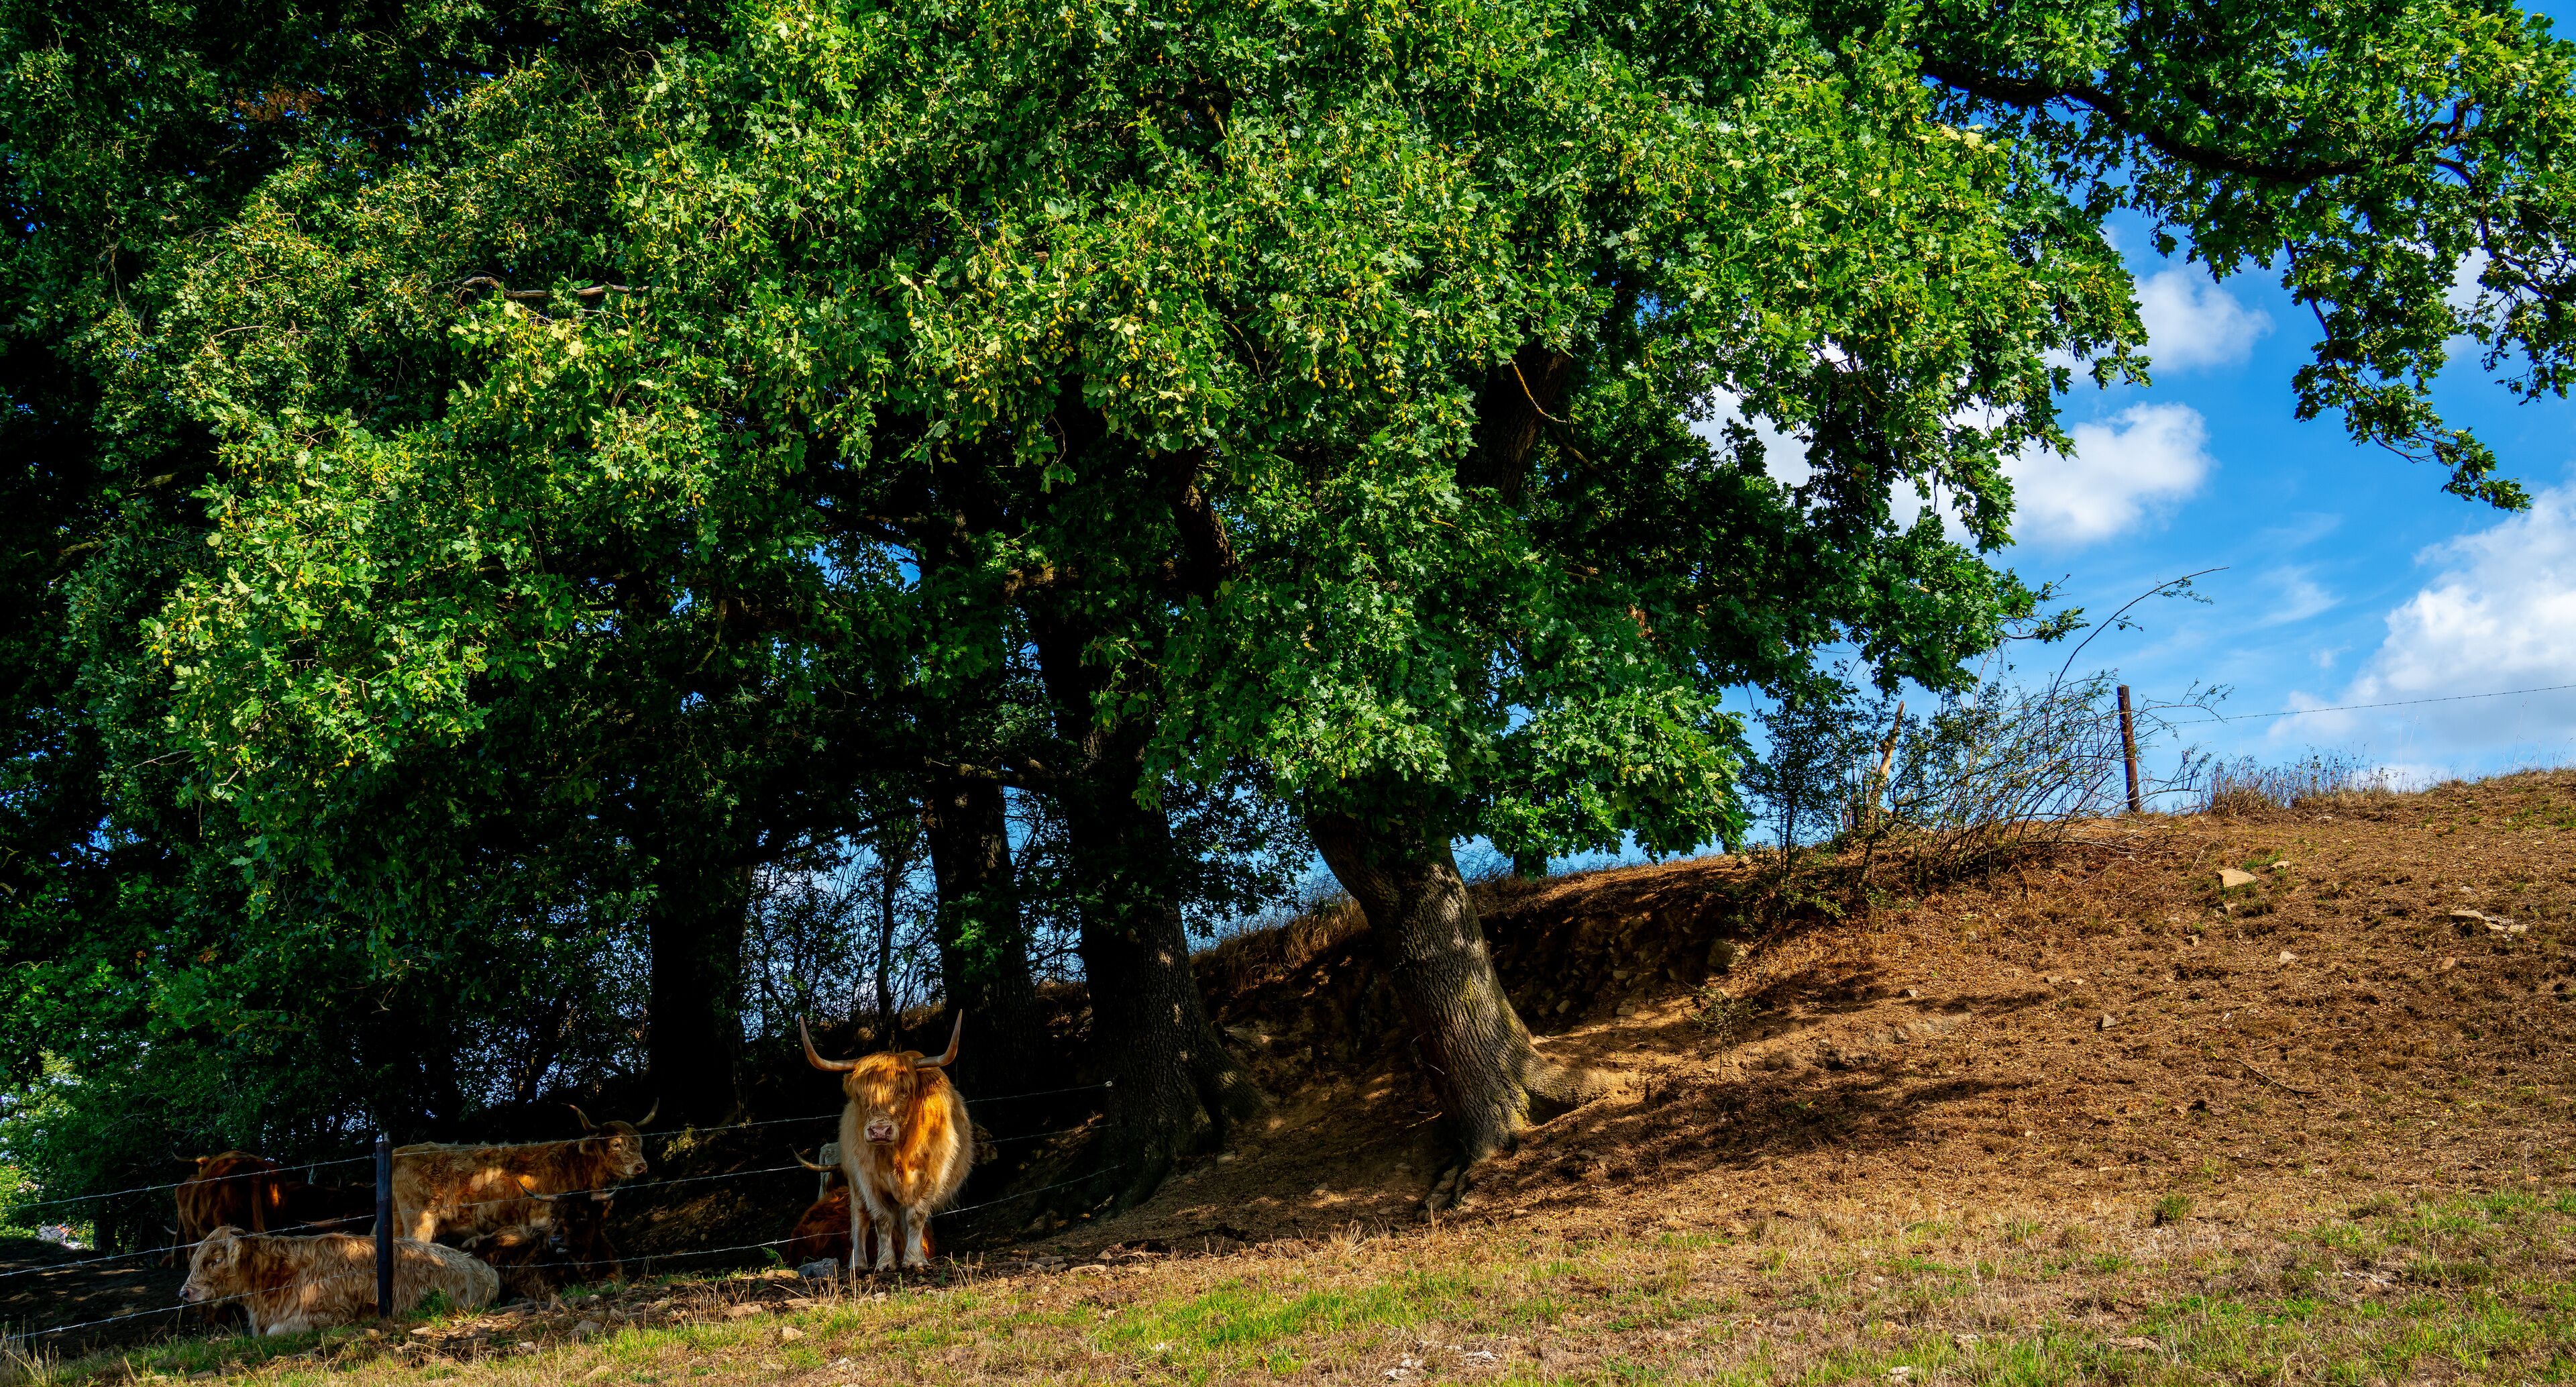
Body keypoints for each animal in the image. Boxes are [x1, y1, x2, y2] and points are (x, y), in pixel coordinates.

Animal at [800, 1012, 971, 1272]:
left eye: (904, 1092)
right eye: (861, 1095)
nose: (879, 1131)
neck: (900, 1152)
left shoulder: (933, 1173)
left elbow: (916, 1215)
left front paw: (915, 1259)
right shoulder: (867, 1178)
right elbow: (881, 1218)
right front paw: (885, 1262)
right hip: (853, 1182)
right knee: (860, 1217)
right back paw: (858, 1263)